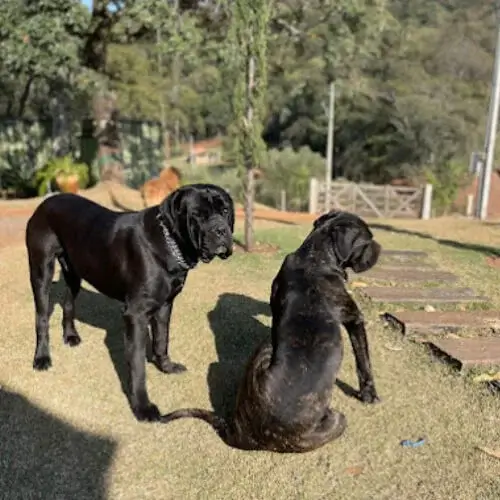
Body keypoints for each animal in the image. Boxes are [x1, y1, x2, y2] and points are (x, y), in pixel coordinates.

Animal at [27, 184, 236, 422]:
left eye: (226, 210)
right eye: (198, 215)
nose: (221, 230)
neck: (170, 243)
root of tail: (46, 202)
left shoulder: (165, 305)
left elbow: (162, 339)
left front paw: (165, 366)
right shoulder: (135, 315)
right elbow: (137, 365)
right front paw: (142, 408)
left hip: (73, 272)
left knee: (69, 303)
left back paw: (70, 336)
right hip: (41, 271)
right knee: (42, 317)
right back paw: (42, 357)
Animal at [160, 211, 382, 454]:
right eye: (368, 240)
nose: (380, 249)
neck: (314, 257)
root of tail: (238, 432)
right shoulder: (355, 320)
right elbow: (364, 362)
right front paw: (370, 394)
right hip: (336, 418)